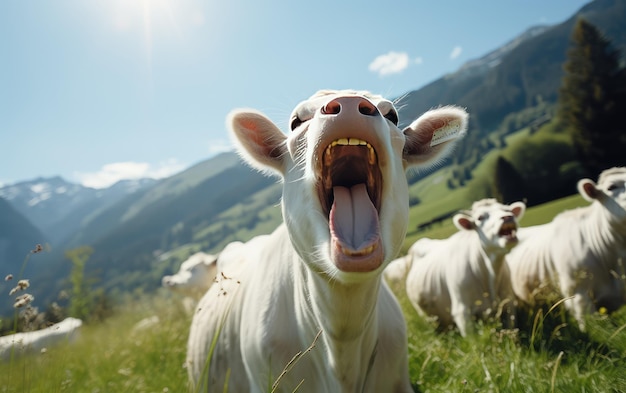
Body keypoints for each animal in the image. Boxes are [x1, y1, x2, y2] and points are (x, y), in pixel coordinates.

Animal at [388, 198, 524, 336]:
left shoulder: (508, 305)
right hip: (426, 316)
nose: (507, 217)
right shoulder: (462, 312)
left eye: (506, 209)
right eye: (480, 217)